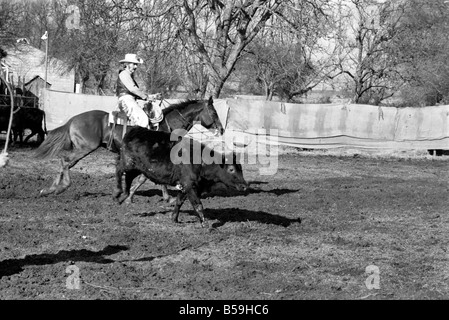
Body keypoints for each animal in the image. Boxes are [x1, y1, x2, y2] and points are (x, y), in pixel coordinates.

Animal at [35, 96, 224, 199]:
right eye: (214, 113)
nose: (222, 129)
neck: (167, 125)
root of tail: (73, 119)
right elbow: (148, 178)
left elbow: (144, 178)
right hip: (85, 148)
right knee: (65, 161)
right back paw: (61, 187)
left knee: (64, 162)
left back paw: (50, 189)